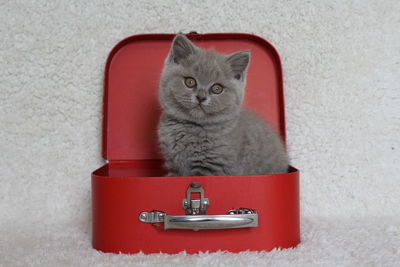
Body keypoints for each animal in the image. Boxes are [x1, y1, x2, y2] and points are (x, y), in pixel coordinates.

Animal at [158, 35, 290, 178]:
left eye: (217, 88)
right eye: (190, 81)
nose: (201, 97)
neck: (192, 127)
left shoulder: (213, 167)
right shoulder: (174, 166)